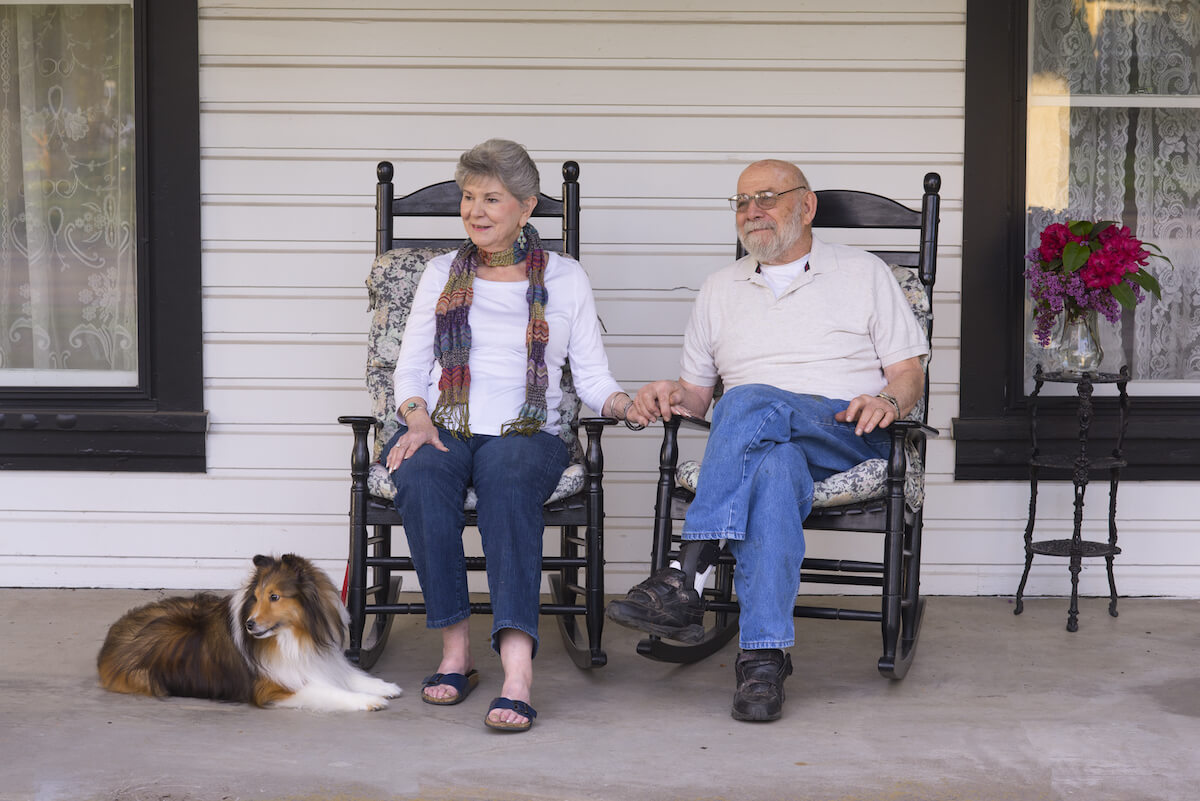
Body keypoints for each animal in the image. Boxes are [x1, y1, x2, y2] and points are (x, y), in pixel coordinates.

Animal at [94, 553, 403, 709]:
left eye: (274, 597)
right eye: (255, 597)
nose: (249, 625)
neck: (294, 636)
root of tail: (113, 635)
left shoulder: (319, 661)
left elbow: (351, 676)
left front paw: (384, 687)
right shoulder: (274, 687)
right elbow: (331, 691)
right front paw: (369, 700)